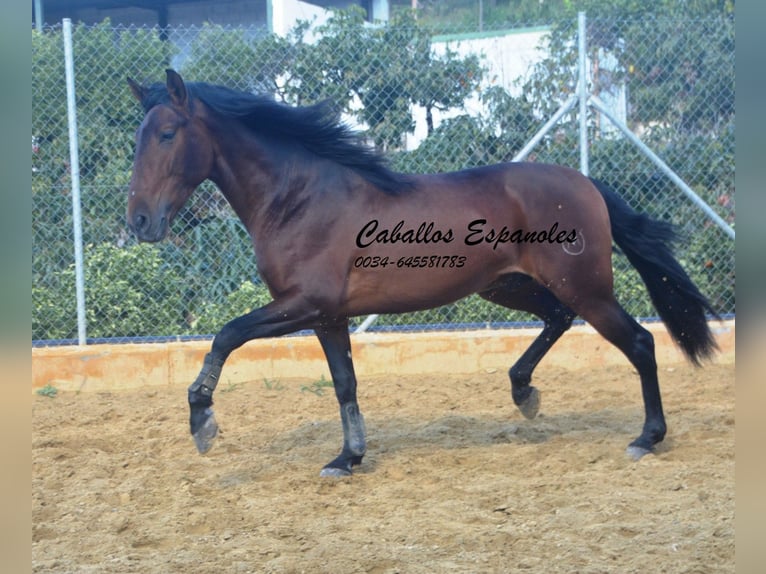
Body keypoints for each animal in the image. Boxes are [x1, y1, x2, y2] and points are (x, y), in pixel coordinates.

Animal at [124, 70, 720, 480]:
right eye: (140, 135)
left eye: (168, 134)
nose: (140, 221)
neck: (299, 198)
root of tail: (587, 183)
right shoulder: (328, 316)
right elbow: (344, 383)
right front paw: (347, 458)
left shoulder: (302, 303)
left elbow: (226, 335)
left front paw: (202, 423)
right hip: (507, 286)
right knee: (558, 318)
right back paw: (524, 392)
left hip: (586, 288)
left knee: (639, 342)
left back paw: (646, 437)